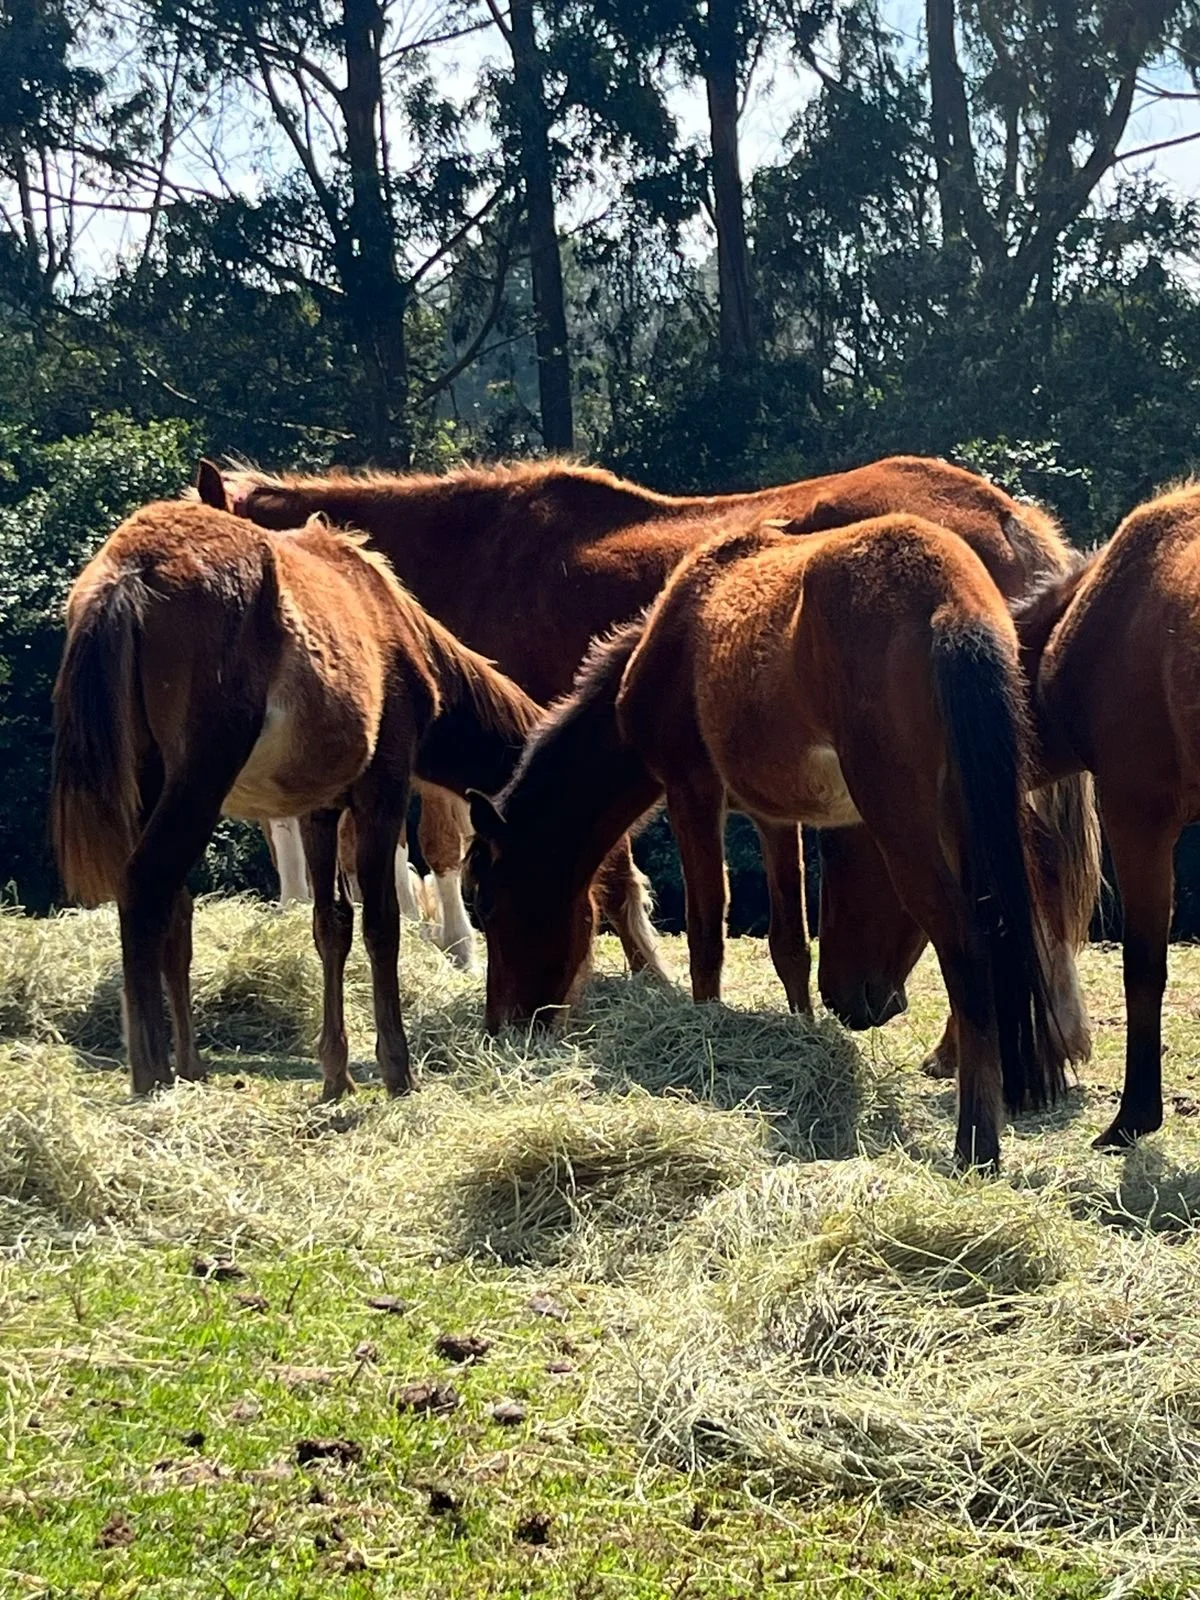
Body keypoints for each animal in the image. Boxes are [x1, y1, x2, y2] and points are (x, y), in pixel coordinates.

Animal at [50, 462, 539, 1100]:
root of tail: (131, 570)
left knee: (174, 904)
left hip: (153, 785)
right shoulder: (381, 791)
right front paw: (396, 1069)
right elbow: (382, 923)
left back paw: (190, 1062)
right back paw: (154, 1072)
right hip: (198, 781)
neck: (394, 625)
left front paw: (336, 1072)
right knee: (146, 886)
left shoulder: (319, 809)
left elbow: (331, 924)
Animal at [467, 514, 1068, 1171]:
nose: (502, 1025)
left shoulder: (692, 793)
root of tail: (949, 601)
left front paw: (705, 1032)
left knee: (966, 946)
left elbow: (707, 931)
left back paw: (975, 1141)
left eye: (487, 904)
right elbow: (790, 946)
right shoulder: (773, 816)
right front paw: (802, 1037)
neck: (675, 638)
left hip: (904, 822)